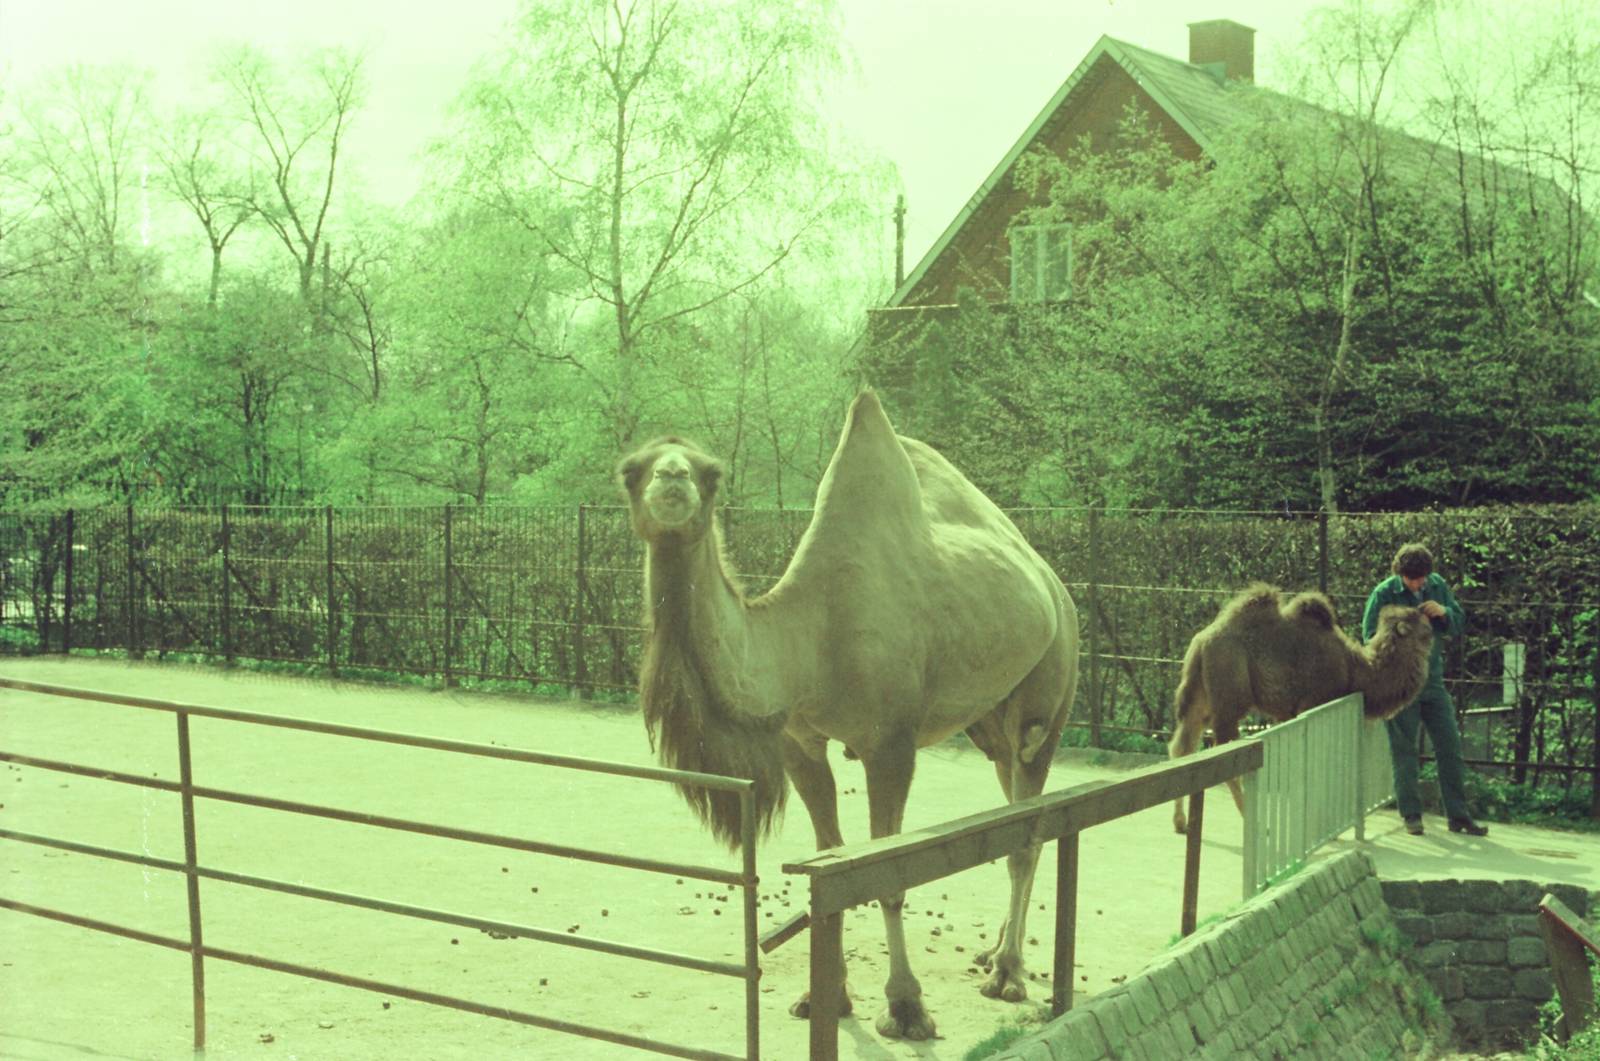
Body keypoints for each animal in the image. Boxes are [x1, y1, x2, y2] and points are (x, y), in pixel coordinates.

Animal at [615, 391, 1078, 1041]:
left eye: (711, 473)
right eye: (631, 469)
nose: (672, 479)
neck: (808, 645)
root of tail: (1051, 581)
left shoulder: (890, 744)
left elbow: (889, 876)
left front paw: (906, 1008)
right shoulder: (799, 745)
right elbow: (830, 865)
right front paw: (825, 998)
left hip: (1055, 682)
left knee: (1028, 819)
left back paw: (1007, 974)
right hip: (989, 719)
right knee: (1012, 799)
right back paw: (993, 950)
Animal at [1167, 583, 1434, 833]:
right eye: (1419, 621)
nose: (1433, 623)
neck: (1356, 672)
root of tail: (1202, 641)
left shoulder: (1288, 713)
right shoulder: (1314, 704)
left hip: (1199, 696)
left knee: (1182, 746)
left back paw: (1181, 822)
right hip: (1229, 695)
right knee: (1226, 753)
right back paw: (1253, 822)